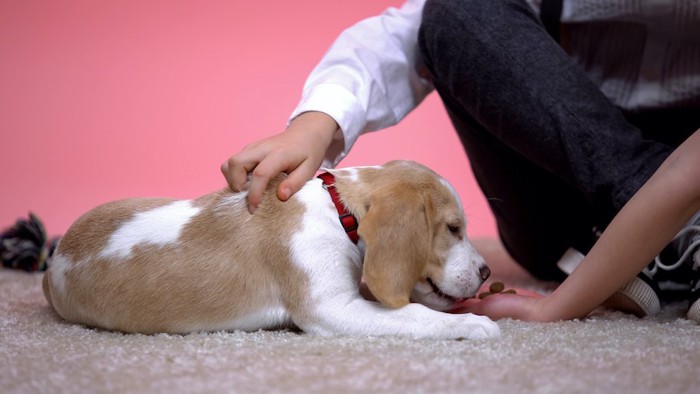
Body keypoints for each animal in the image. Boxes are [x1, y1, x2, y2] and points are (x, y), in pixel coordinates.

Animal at [42, 162, 498, 340]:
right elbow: (418, 315)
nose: (487, 272)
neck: (337, 210)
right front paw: (475, 323)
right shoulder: (332, 310)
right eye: (453, 229)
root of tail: (52, 264)